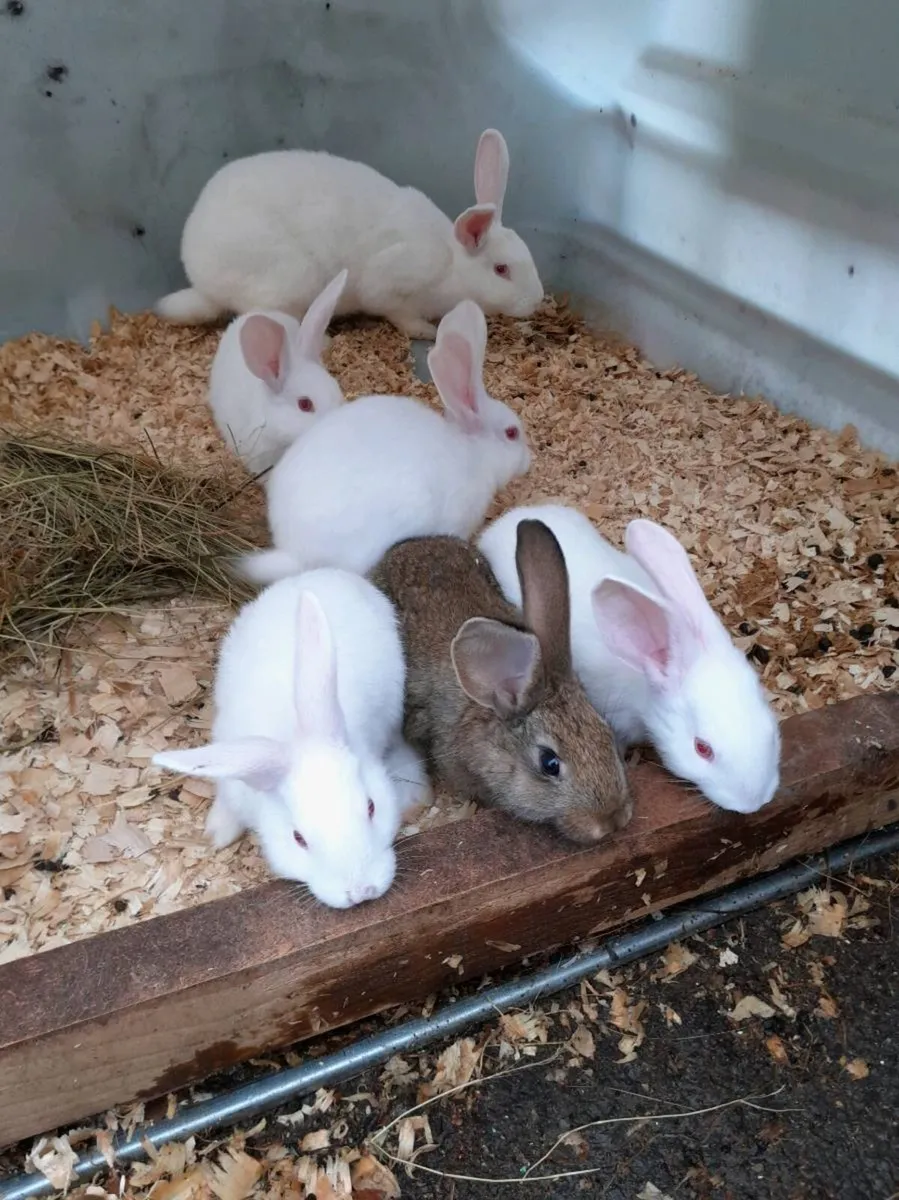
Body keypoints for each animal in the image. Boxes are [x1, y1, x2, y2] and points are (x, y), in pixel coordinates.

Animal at [152, 569, 430, 909]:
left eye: (371, 807)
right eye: (298, 839)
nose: (361, 892)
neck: (295, 736)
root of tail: (321, 571)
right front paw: (215, 835)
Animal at [155, 128, 544, 339]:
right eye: (501, 269)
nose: (537, 301)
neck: (452, 263)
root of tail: (202, 283)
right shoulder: (391, 286)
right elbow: (396, 312)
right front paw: (425, 331)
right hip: (289, 280)